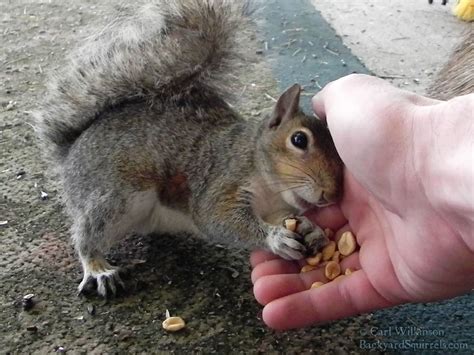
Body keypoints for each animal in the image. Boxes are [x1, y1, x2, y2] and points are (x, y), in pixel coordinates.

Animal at [34, 0, 344, 298]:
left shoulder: (276, 209)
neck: (269, 183)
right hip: (113, 195)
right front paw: (275, 238)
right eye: (299, 140)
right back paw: (98, 267)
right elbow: (217, 218)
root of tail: (72, 150)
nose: (332, 194)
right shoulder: (223, 181)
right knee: (87, 235)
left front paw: (312, 230)